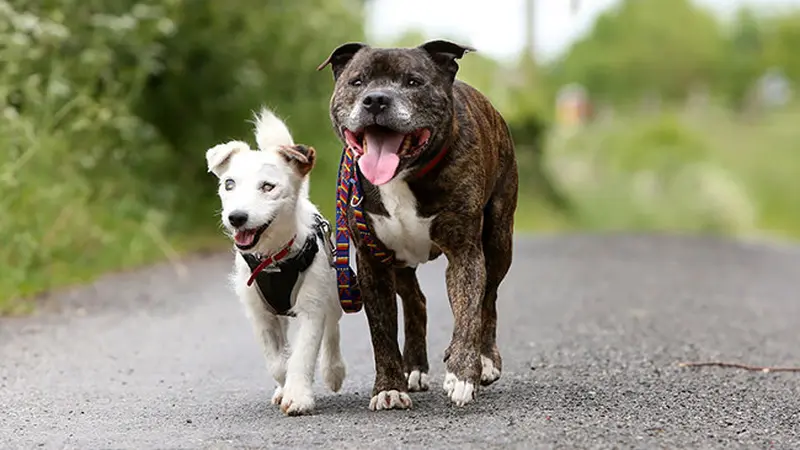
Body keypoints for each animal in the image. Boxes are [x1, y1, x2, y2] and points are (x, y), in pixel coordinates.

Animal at [205, 107, 346, 416]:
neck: (273, 258)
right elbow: (278, 361)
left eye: (268, 186)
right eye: (229, 184)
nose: (237, 217)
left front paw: (298, 397)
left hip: (332, 291)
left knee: (332, 329)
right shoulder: (261, 314)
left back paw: (333, 370)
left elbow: (303, 353)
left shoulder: (311, 307)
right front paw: (285, 387)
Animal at [318, 40, 520, 410]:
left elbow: (469, 311)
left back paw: (485, 360)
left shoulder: (465, 253)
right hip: (398, 261)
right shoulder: (372, 261)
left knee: (489, 297)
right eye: (357, 81)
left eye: (413, 82)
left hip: (499, 239)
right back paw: (413, 367)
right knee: (416, 301)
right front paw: (388, 387)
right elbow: (381, 331)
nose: (376, 99)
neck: (403, 176)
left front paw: (462, 374)